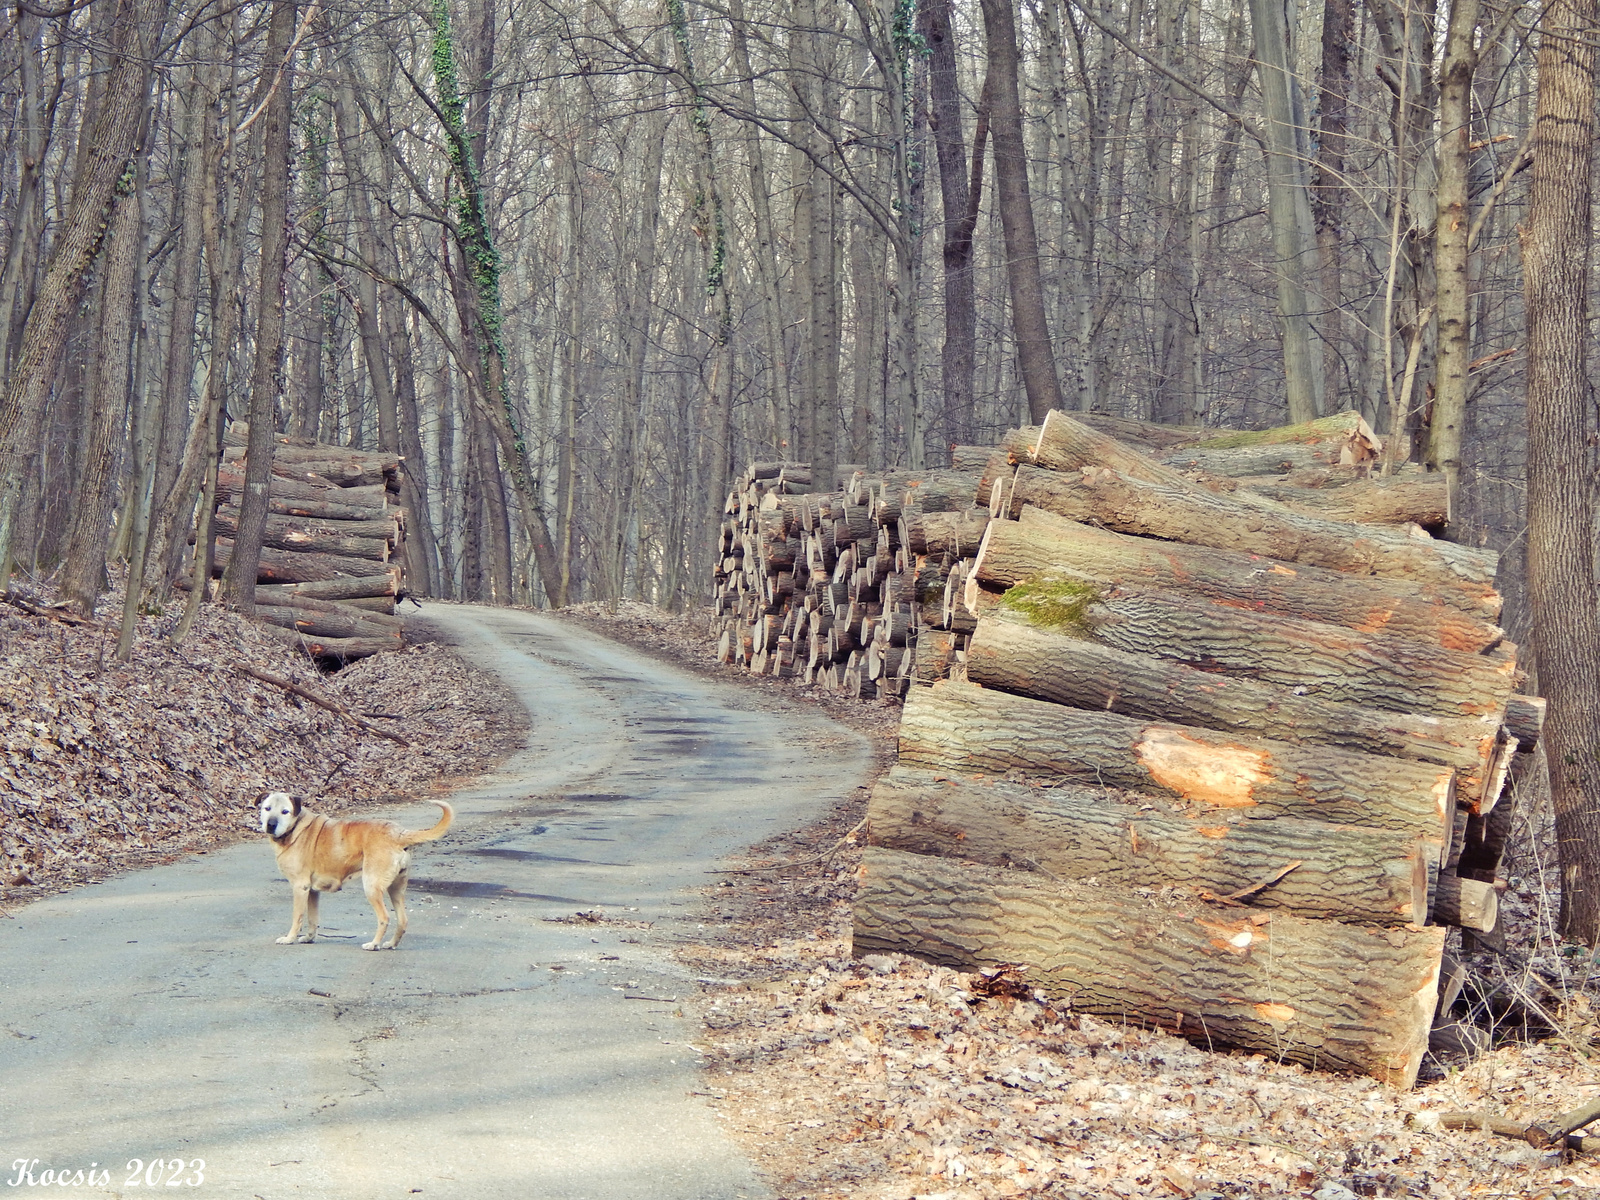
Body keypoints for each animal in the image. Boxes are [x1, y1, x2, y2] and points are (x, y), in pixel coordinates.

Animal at [259, 793, 454, 953]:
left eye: (285, 811)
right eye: (267, 808)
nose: (271, 824)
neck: (295, 829)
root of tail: (399, 833)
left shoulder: (300, 888)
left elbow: (297, 917)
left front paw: (289, 938)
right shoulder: (312, 892)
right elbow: (312, 919)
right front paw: (309, 938)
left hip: (371, 887)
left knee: (384, 918)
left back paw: (373, 944)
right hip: (396, 889)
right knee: (402, 920)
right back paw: (391, 944)